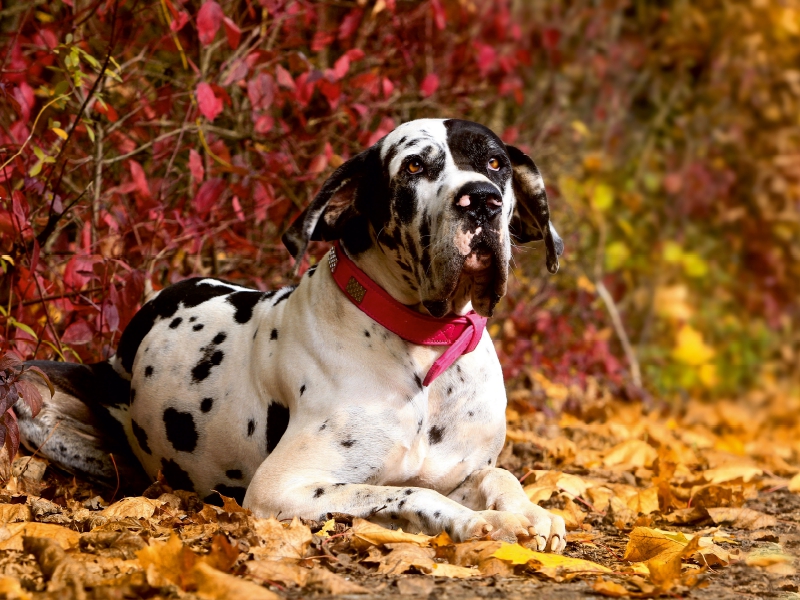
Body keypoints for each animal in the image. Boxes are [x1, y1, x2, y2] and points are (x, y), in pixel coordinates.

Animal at [20, 118, 568, 552]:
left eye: (495, 163)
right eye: (414, 166)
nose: (482, 201)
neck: (425, 349)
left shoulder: (464, 470)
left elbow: (498, 474)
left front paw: (531, 513)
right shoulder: (282, 488)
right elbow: (410, 492)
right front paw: (480, 523)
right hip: (29, 392)